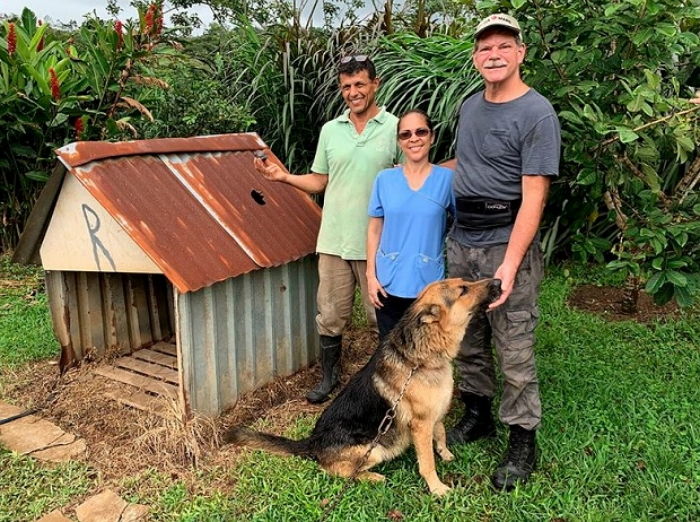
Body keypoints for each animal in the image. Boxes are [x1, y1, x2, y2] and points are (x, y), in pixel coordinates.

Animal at [224, 274, 498, 494]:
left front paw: (445, 453)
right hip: (374, 450)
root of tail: (312, 441)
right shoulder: (420, 425)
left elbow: (440, 435)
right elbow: (427, 463)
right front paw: (437, 488)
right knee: (336, 471)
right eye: (463, 289)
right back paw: (373, 477)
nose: (498, 281)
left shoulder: (434, 414)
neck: (419, 358)